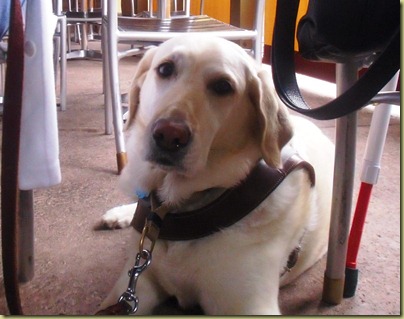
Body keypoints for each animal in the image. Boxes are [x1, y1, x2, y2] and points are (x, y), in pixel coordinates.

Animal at [100, 34, 334, 316]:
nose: (169, 135)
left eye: (223, 86)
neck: (185, 209)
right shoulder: (132, 284)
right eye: (165, 69)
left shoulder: (249, 305)